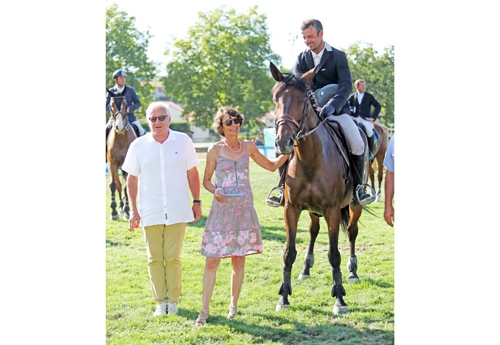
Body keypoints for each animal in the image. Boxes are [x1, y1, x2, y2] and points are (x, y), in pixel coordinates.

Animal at [270, 61, 372, 314]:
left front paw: (339, 299)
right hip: (312, 211)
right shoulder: (291, 208)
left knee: (352, 232)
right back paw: (306, 269)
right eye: (275, 98)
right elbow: (289, 253)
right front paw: (284, 297)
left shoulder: (332, 210)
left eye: (302, 100)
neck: (309, 156)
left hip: (354, 204)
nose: (283, 142)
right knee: (314, 231)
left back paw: (353, 272)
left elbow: (334, 254)